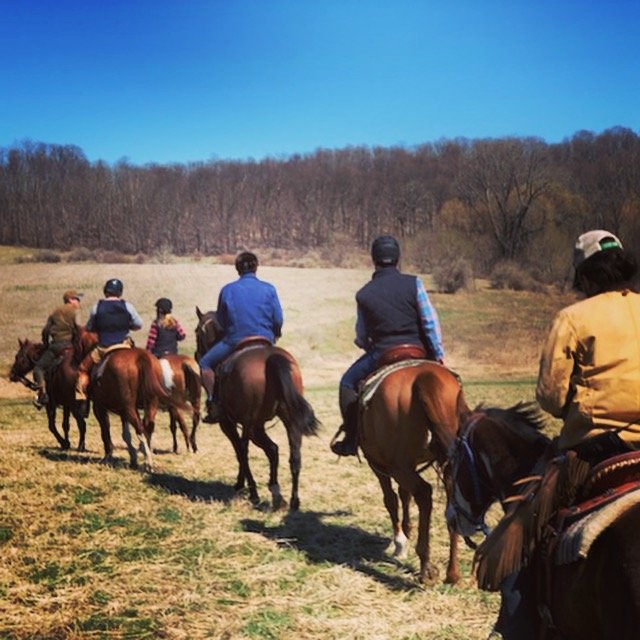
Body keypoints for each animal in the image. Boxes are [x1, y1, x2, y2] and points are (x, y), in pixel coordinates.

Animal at [192, 308, 318, 512]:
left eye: (197, 331)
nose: (197, 355)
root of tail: (270, 359)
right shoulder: (257, 426)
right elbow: (273, 450)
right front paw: (273, 489)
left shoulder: (229, 423)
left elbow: (240, 451)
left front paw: (241, 483)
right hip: (287, 420)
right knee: (294, 456)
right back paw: (292, 501)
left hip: (248, 423)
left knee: (244, 450)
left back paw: (254, 492)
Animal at [358, 358, 472, 588]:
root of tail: (423, 376)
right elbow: (404, 494)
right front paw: (407, 529)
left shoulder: (378, 465)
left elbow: (391, 499)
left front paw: (400, 542)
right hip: (445, 466)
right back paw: (452, 574)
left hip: (397, 466)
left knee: (423, 493)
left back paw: (426, 569)